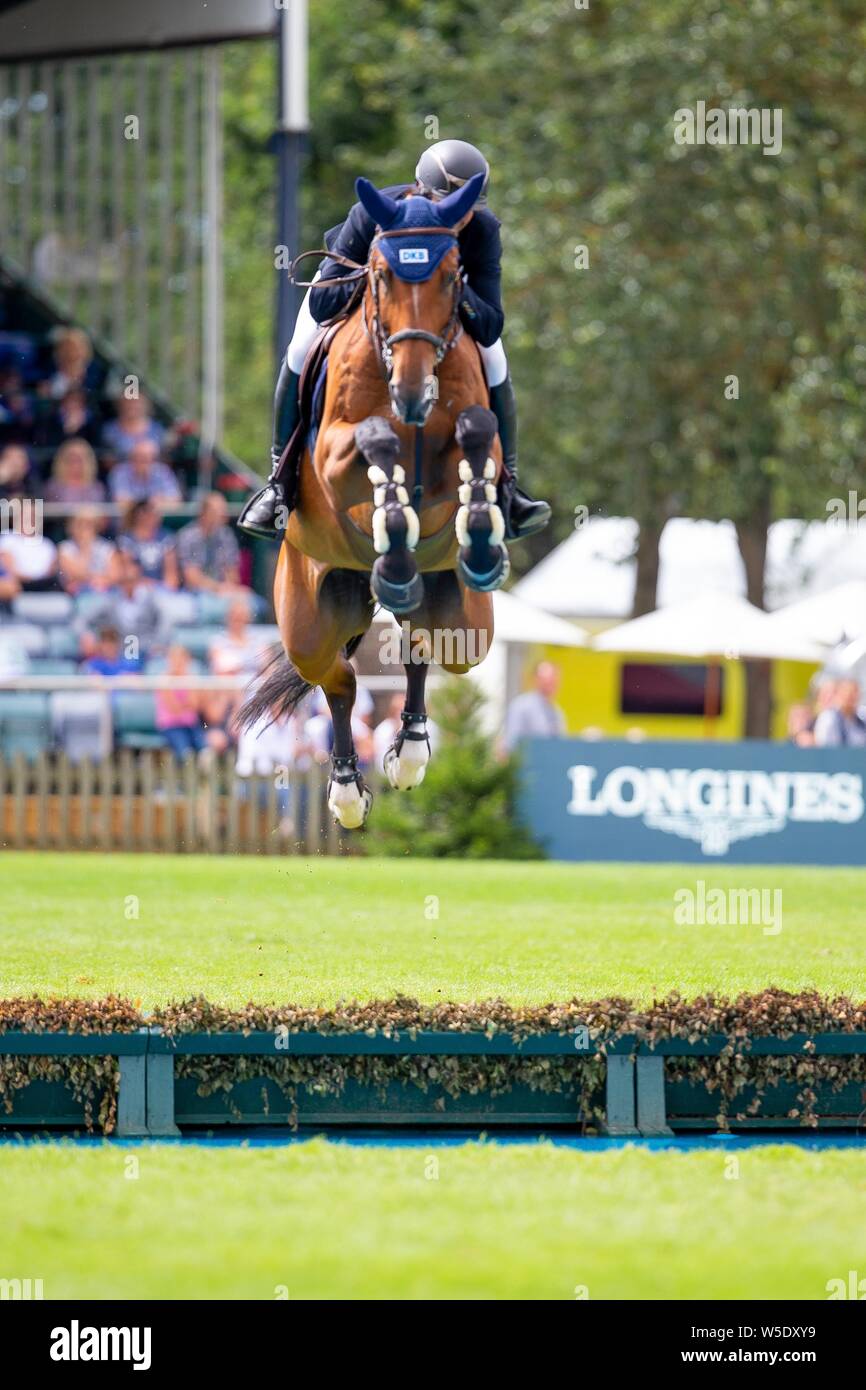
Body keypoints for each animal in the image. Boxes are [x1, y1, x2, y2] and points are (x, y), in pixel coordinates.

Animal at [239, 168, 508, 828]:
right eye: (381, 274)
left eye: (453, 274)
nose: (411, 391)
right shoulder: (335, 459)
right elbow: (373, 446)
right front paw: (392, 517)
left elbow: (476, 435)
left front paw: (480, 525)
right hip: (306, 619)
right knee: (338, 680)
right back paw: (345, 791)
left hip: (466, 621)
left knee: (423, 646)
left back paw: (408, 751)